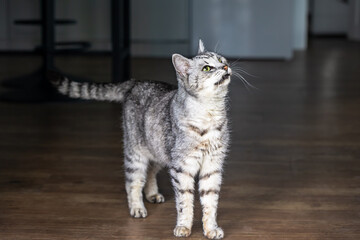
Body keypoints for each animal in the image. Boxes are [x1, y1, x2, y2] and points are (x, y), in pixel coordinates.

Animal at [50, 40, 231, 239]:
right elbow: (185, 202)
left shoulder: (212, 166)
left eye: (221, 60)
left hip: (159, 152)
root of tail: (135, 82)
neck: (209, 113)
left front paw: (211, 228)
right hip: (135, 154)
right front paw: (184, 226)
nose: (225, 66)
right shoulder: (182, 168)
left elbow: (210, 201)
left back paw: (152, 194)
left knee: (150, 172)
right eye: (207, 68)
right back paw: (137, 207)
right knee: (133, 182)